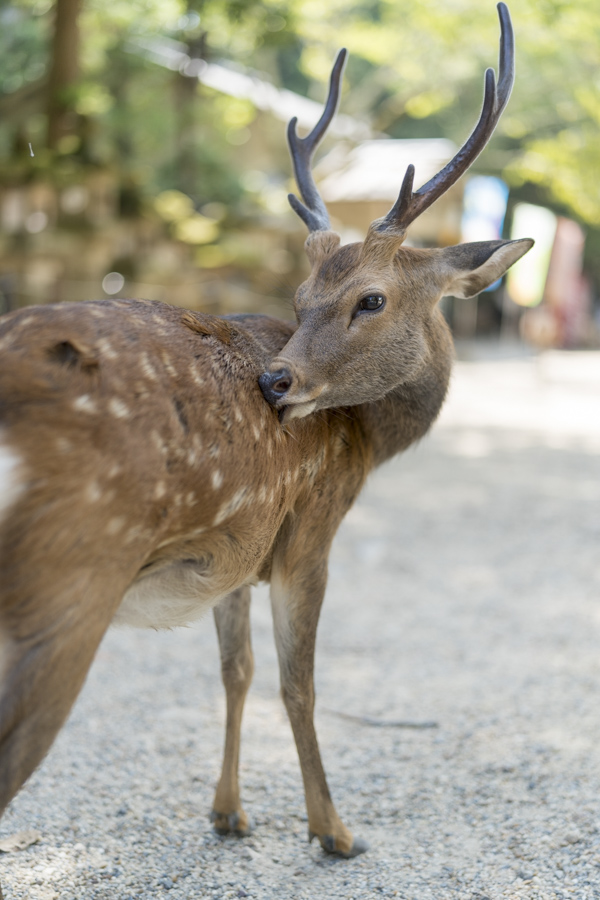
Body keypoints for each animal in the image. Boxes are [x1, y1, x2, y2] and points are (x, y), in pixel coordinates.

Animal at [0, 1, 536, 892]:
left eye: (367, 299)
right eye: (300, 296)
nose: (277, 383)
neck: (365, 444)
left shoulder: (235, 551)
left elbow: (236, 669)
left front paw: (228, 814)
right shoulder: (309, 532)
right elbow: (298, 683)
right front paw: (334, 831)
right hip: (68, 584)